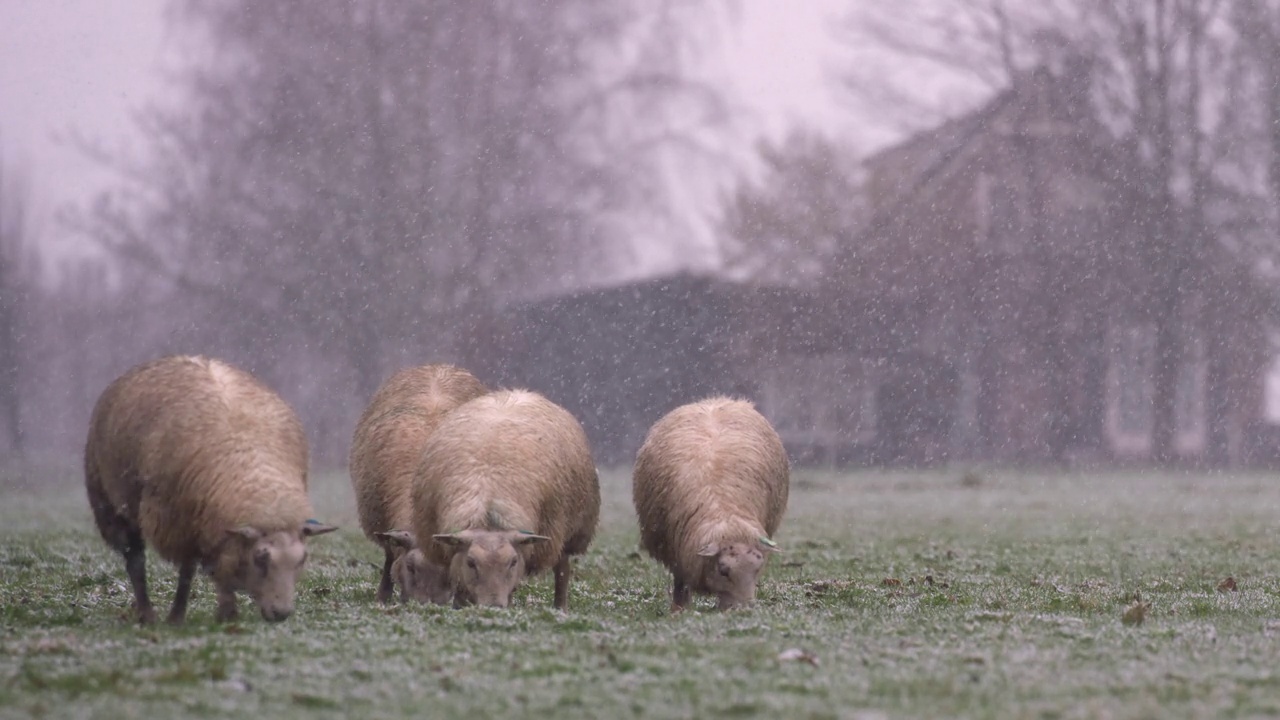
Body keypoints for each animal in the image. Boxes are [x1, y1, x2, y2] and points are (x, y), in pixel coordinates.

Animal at [82, 353, 337, 622]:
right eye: (260, 559)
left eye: (302, 560)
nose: (281, 613)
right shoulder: (178, 523)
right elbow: (188, 573)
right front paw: (183, 617)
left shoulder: (210, 526)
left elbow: (212, 568)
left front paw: (225, 611)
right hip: (110, 504)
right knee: (135, 560)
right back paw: (147, 614)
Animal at [348, 361, 486, 602]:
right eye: (411, 567)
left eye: (449, 571)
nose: (427, 605)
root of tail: (439, 365)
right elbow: (390, 558)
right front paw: (383, 596)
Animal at [414, 389, 604, 607]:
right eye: (471, 562)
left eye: (512, 562)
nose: (494, 607)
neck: (488, 508)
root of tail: (519, 392)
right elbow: (460, 586)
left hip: (566, 531)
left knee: (562, 570)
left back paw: (560, 607)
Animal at [632, 394, 788, 607]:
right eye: (723, 571)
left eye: (757, 569)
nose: (745, 609)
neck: (724, 511)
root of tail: (714, 400)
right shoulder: (678, 552)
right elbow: (681, 584)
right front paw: (679, 608)